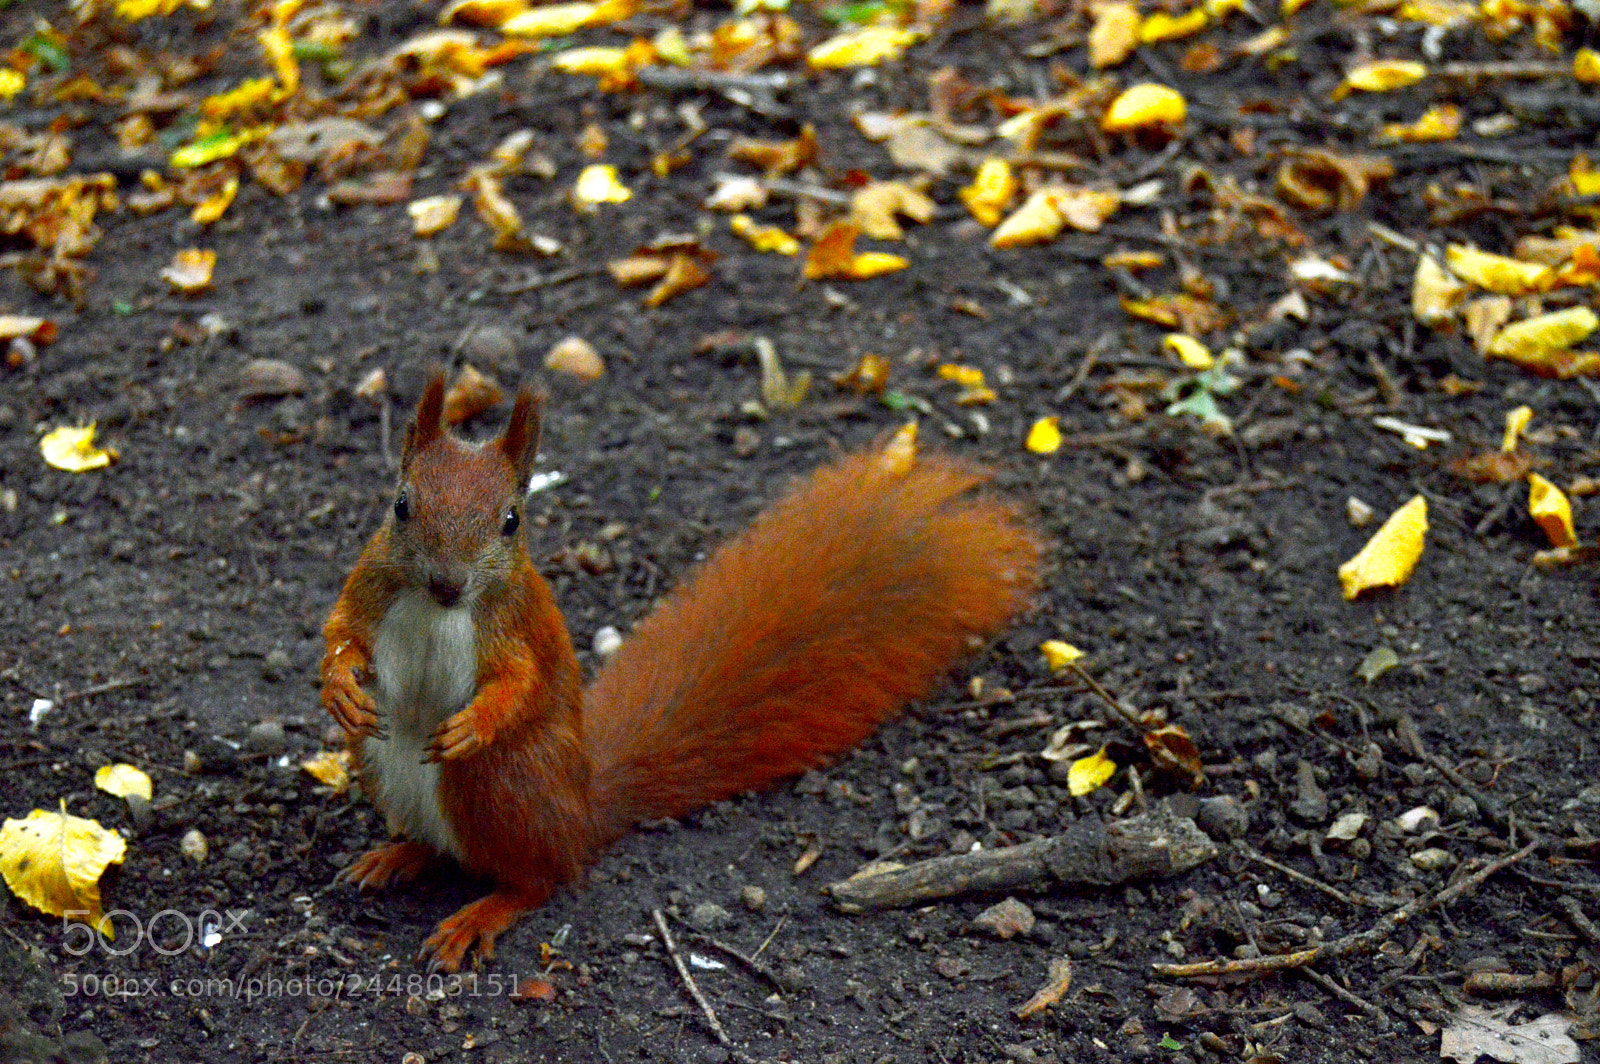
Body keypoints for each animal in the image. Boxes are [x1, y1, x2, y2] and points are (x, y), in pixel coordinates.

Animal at [321, 372, 1043, 971]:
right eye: (401, 505)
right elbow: (338, 635)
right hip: (384, 769)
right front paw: (339, 689)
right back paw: (397, 855)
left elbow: (519, 685)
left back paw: (481, 913)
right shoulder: (366, 588)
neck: (433, 607)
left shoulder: (515, 630)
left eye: (511, 521)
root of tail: (583, 807)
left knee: (542, 877)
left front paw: (477, 720)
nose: (447, 583)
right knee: (444, 846)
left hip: (500, 785)